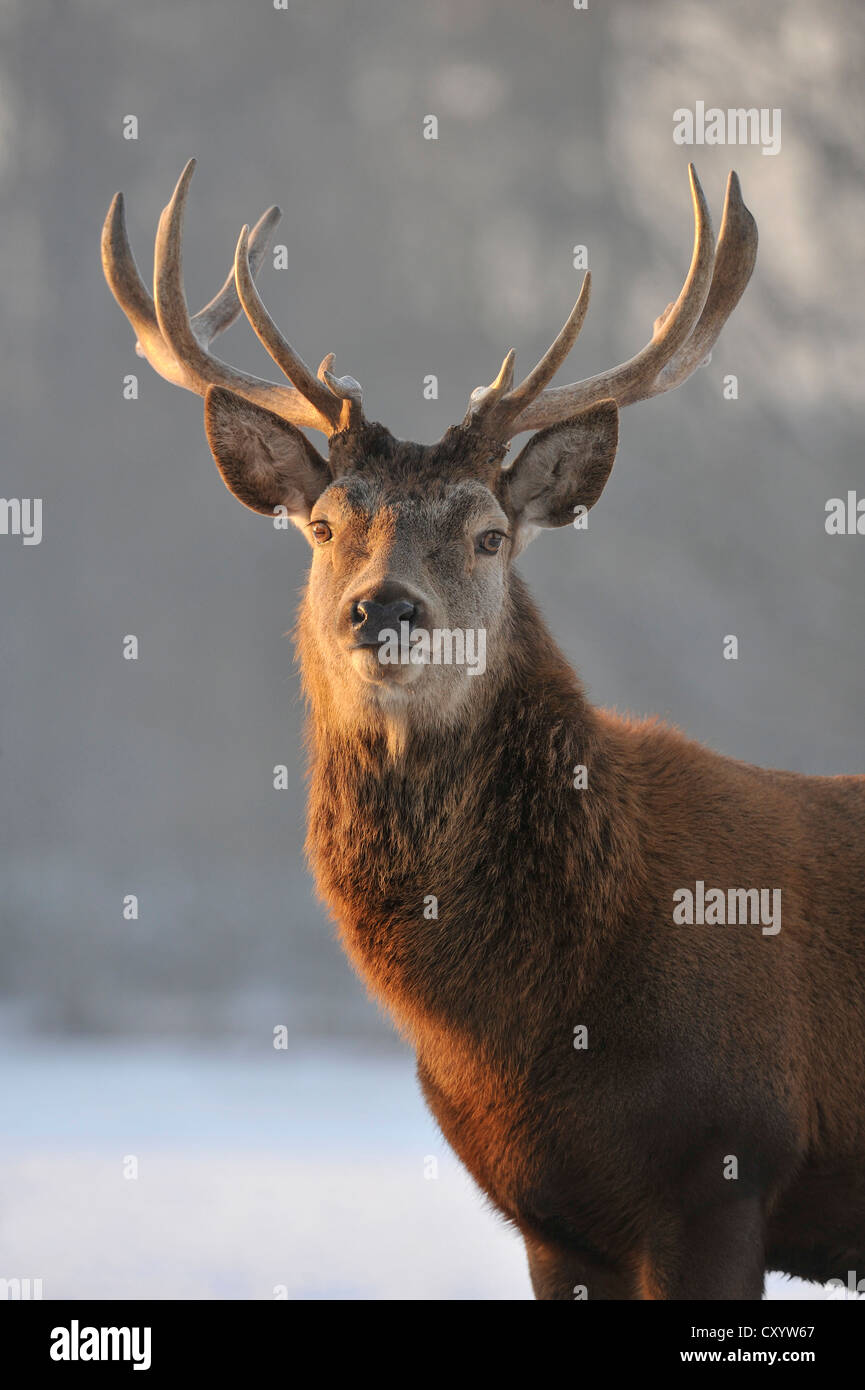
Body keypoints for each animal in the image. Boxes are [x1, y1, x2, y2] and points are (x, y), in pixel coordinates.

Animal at [102, 159, 865, 1300]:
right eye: (323, 525)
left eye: (489, 534)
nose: (381, 608)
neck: (523, 1033)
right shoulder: (549, 1215)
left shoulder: (726, 1163)